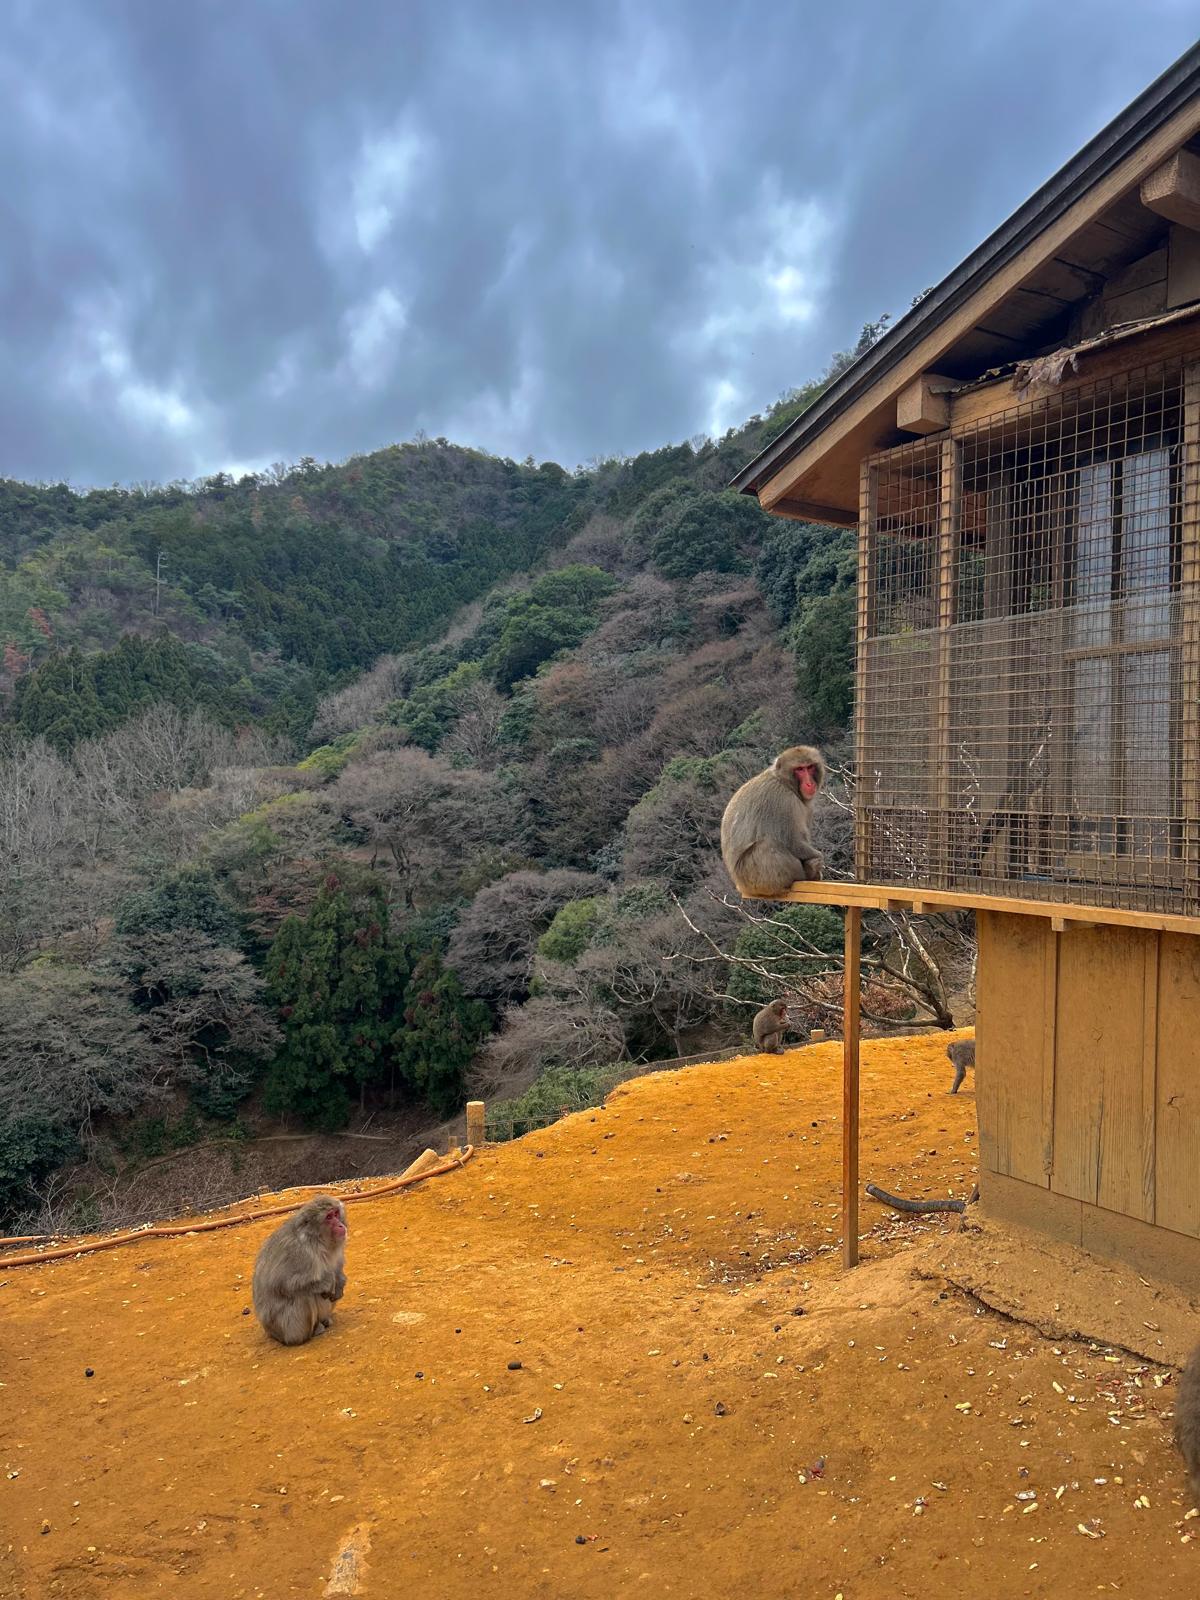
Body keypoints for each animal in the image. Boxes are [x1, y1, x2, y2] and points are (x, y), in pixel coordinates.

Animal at [251, 1194, 348, 1347]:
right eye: (328, 1217)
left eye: (336, 1214)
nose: (340, 1225)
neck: (317, 1241)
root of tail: (270, 1332)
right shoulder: (298, 1253)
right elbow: (282, 1285)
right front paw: (327, 1281)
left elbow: (337, 1267)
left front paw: (340, 1282)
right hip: (288, 1329)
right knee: (304, 1295)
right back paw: (312, 1332)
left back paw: (325, 1320)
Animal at [720, 746, 825, 898]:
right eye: (799, 769)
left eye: (810, 767)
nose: (809, 783)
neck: (784, 782)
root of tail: (740, 885)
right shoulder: (785, 801)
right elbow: (793, 842)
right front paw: (818, 858)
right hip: (754, 877)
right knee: (767, 846)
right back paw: (807, 872)